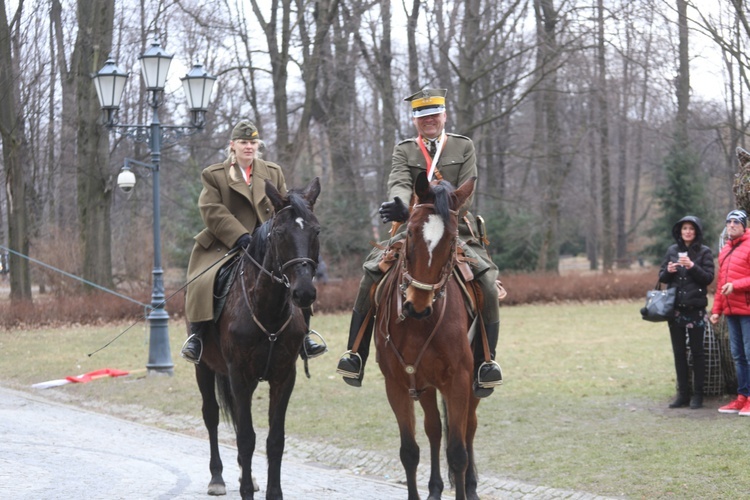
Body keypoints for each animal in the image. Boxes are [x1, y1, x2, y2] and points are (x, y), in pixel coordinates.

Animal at [191, 178, 320, 498]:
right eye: (279, 232)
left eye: (316, 230)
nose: (303, 293)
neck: (268, 309)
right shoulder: (240, 375)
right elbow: (247, 437)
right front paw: (245, 489)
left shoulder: (284, 377)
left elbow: (274, 439)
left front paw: (272, 491)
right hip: (204, 367)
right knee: (212, 415)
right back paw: (218, 477)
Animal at [376, 170, 482, 498]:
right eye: (409, 233)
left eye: (451, 240)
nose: (417, 305)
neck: (418, 325)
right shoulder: (397, 385)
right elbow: (410, 451)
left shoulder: (459, 380)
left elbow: (458, 452)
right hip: (424, 385)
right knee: (434, 428)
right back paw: (435, 487)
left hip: (470, 384)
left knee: (469, 427)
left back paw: (471, 486)